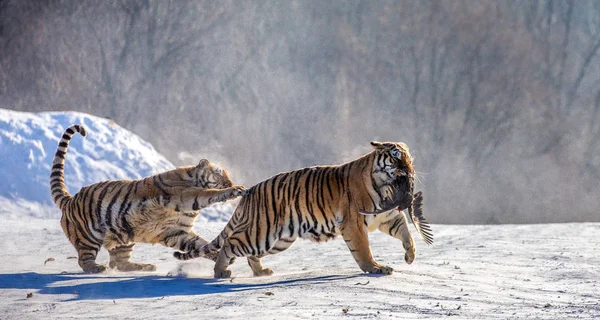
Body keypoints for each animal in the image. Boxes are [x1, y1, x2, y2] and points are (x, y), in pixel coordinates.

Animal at [49, 124, 246, 274]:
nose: (230, 182)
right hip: (88, 237)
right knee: (84, 260)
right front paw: (235, 190)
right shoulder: (184, 196)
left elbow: (200, 244)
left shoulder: (176, 232)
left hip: (124, 236)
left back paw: (145, 266)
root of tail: (70, 199)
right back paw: (97, 268)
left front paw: (219, 256)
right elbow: (208, 193)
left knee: (119, 262)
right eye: (219, 173)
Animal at [173, 141, 420, 278]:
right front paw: (376, 268)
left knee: (249, 254)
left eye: (410, 159)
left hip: (277, 240)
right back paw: (220, 272)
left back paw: (260, 272)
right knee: (230, 244)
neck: (386, 185)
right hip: (259, 234)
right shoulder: (355, 223)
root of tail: (250, 191)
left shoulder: (387, 216)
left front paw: (410, 255)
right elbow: (363, 250)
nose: (409, 171)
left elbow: (406, 232)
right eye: (396, 159)